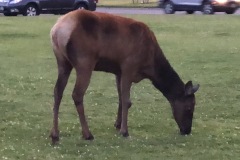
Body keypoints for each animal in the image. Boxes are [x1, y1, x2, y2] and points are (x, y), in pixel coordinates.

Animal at [49, 9, 199, 144]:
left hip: (62, 62)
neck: (150, 65)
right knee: (77, 94)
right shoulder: (128, 66)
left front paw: (117, 124)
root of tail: (56, 30)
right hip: (84, 61)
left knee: (57, 92)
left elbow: (121, 98)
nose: (187, 130)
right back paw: (87, 134)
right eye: (189, 107)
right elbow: (127, 100)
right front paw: (124, 131)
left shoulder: (118, 71)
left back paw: (55, 134)